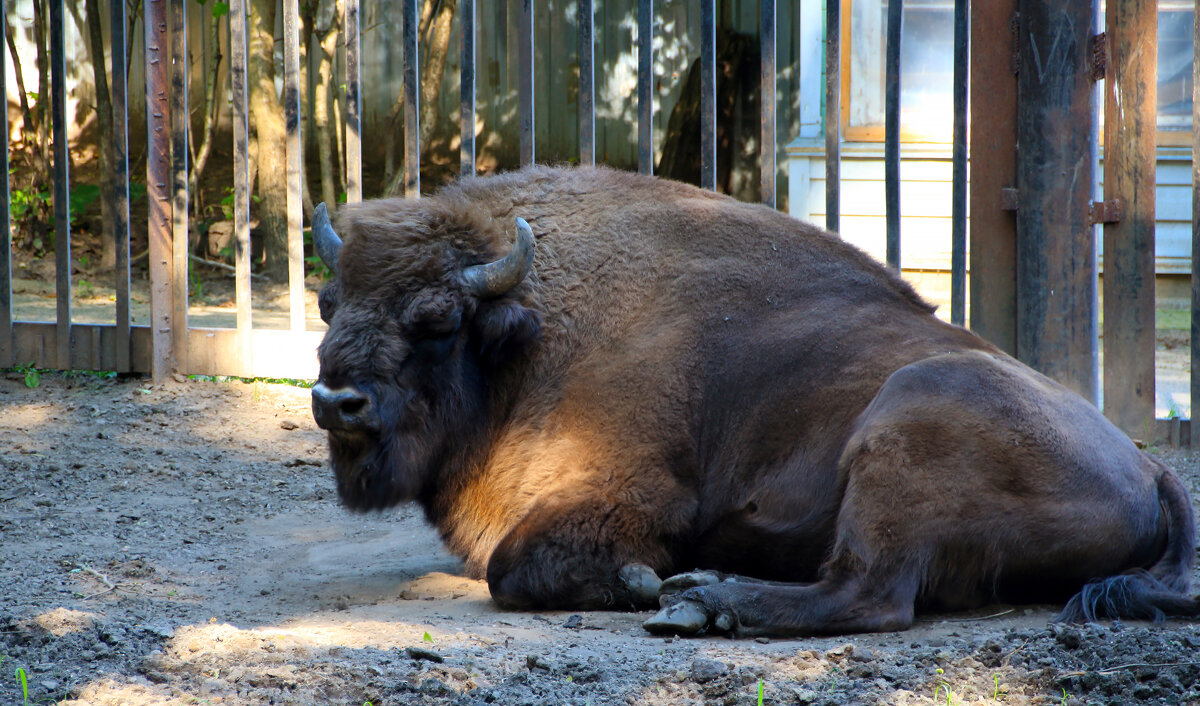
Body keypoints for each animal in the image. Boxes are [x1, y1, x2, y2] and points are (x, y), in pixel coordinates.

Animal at [312, 164, 1200, 633]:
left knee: (870, 594)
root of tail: (1151, 467)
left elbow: (514, 569)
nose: (333, 400)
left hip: (909, 417)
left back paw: (703, 603)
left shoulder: (631, 494)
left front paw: (644, 585)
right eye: (329, 303)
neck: (530, 331)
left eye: (434, 320)